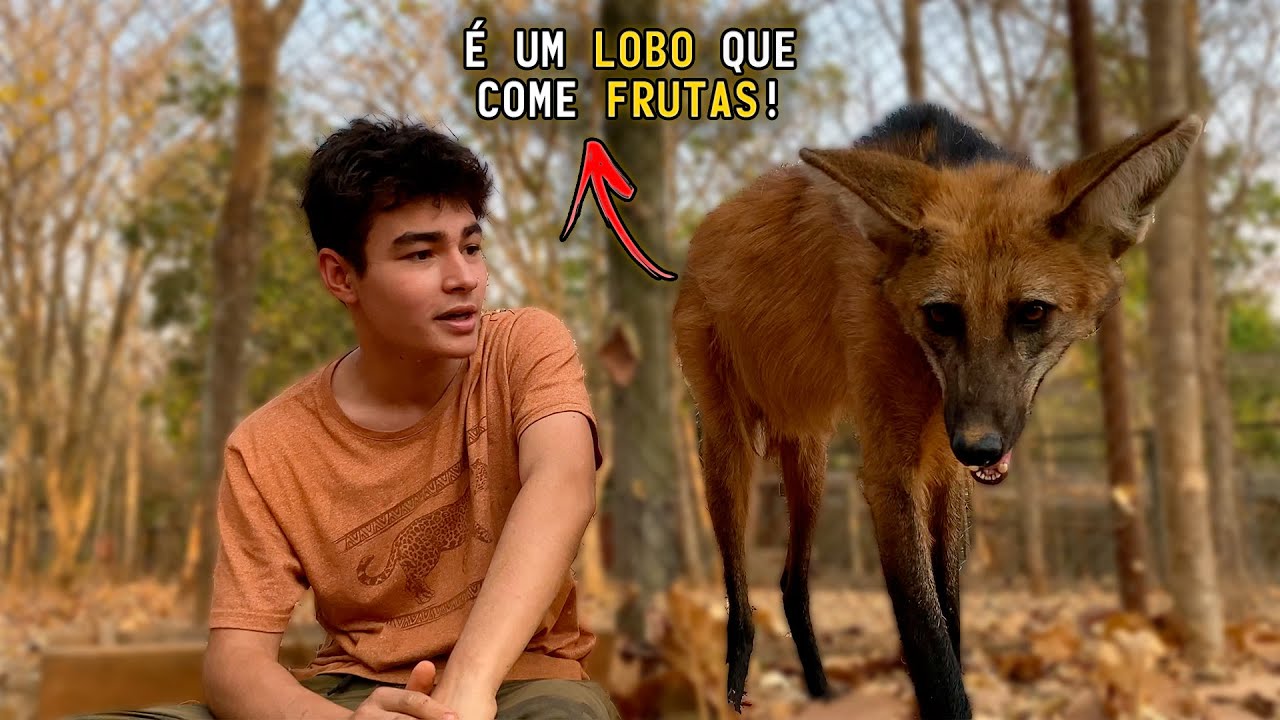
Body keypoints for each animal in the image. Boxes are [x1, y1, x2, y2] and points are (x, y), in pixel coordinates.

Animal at [670, 103, 1202, 718]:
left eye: (1032, 313)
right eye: (943, 315)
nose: (979, 447)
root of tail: (705, 229)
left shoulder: (943, 465)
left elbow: (950, 616)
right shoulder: (891, 471)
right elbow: (932, 645)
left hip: (810, 464)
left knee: (790, 584)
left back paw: (821, 693)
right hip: (727, 451)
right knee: (740, 591)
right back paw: (733, 689)